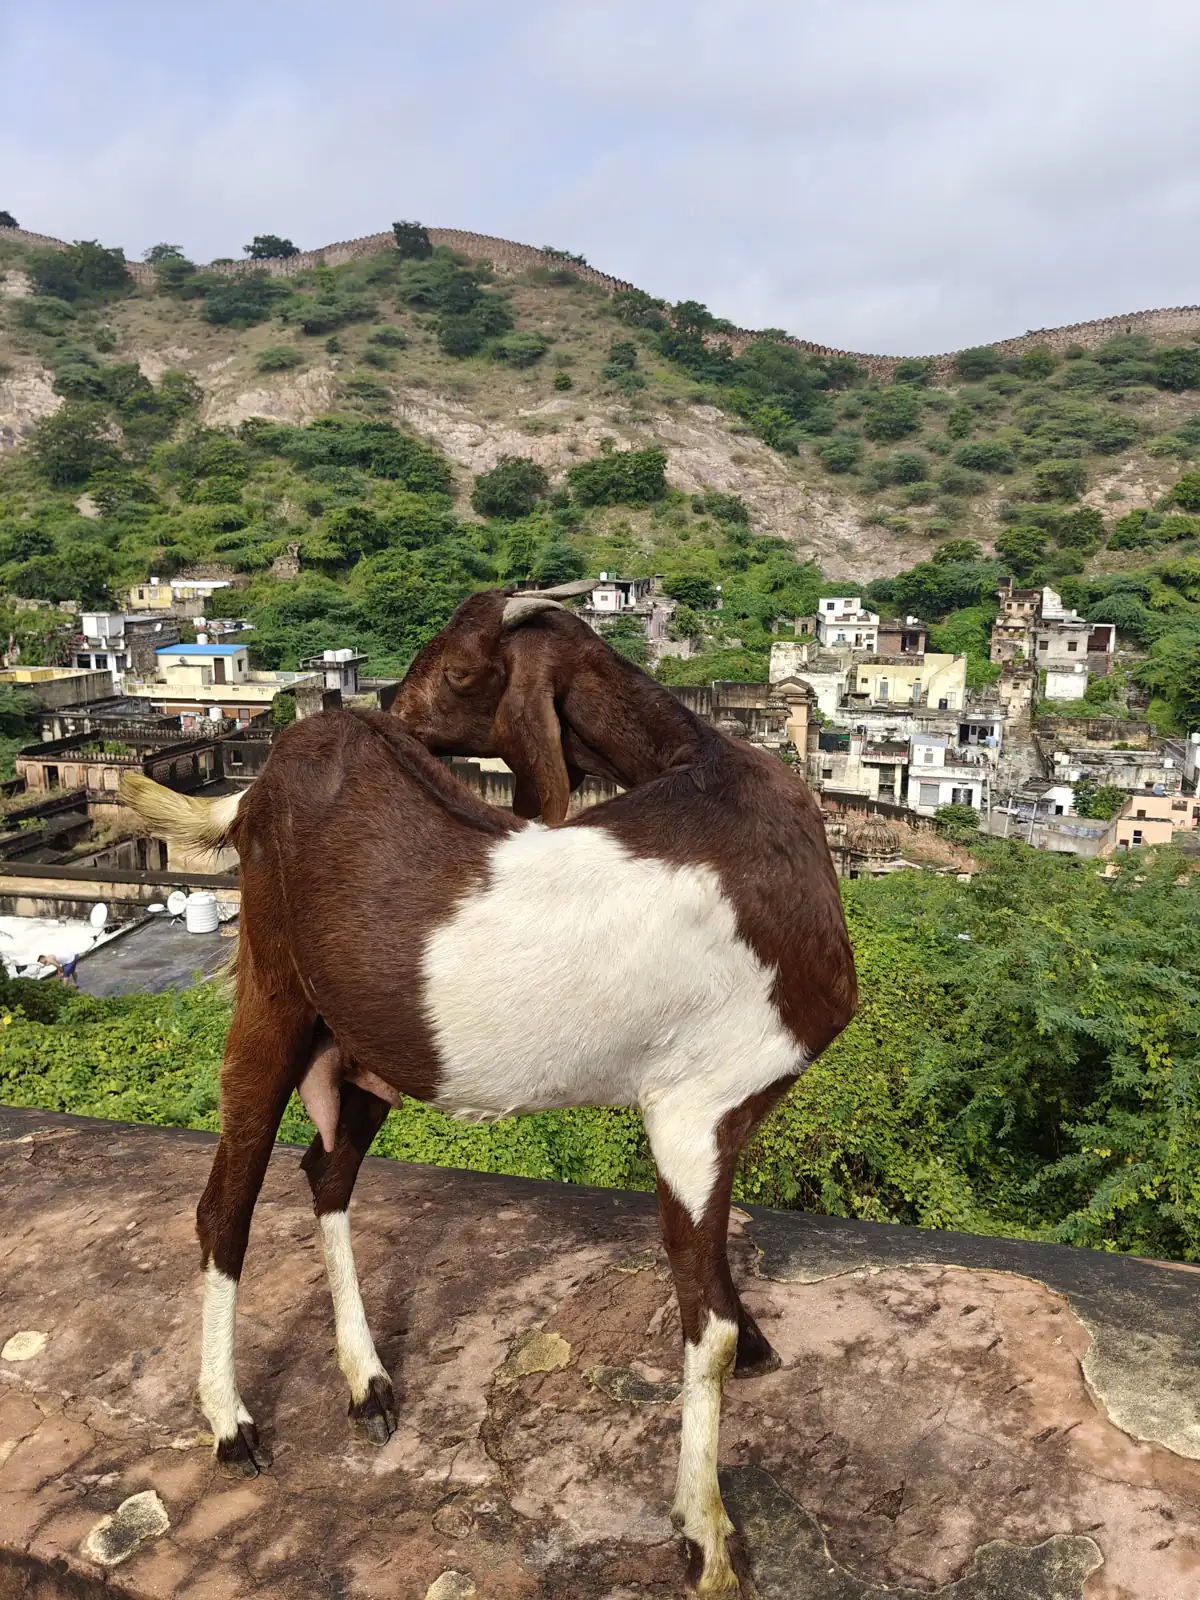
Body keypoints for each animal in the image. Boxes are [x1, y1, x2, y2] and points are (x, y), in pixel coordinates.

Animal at [120, 590, 856, 1595]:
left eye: (466, 671)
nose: (397, 703)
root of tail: (254, 789)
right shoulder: (692, 1108)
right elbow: (699, 1326)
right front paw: (706, 1532)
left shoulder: (722, 1119)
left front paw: (751, 1345)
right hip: (270, 993)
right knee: (224, 1206)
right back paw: (230, 1423)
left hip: (370, 1045)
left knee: (326, 1174)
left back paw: (367, 1382)